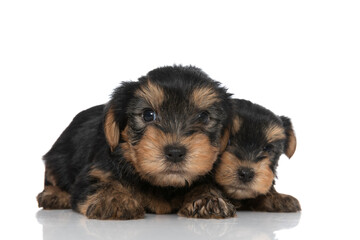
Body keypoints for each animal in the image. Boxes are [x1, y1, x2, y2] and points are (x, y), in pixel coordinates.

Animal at [37, 65, 236, 219]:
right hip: (56, 159)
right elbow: (98, 182)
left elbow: (205, 184)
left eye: (203, 116)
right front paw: (113, 198)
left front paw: (209, 199)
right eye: (148, 115)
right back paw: (54, 195)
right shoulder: (97, 169)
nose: (175, 152)